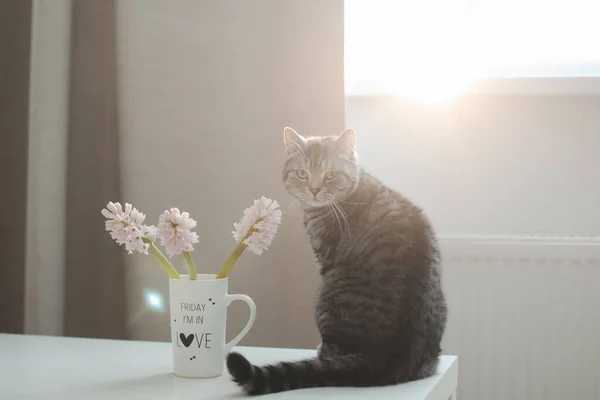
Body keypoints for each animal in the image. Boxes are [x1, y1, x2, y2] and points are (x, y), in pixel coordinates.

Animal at [227, 127, 448, 394]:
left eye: (330, 174)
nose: (314, 189)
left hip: (326, 296)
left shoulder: (324, 254)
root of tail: (388, 355)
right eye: (302, 173)